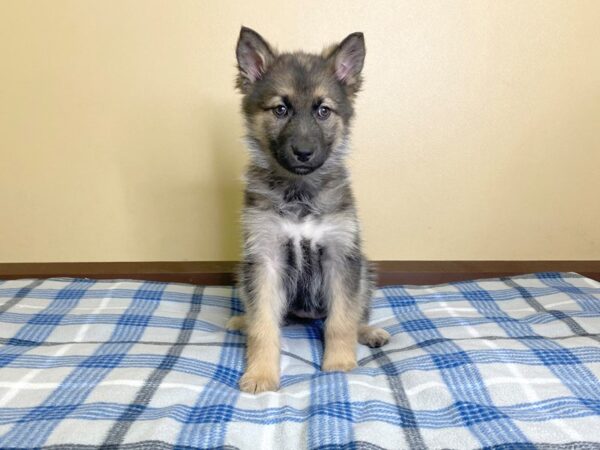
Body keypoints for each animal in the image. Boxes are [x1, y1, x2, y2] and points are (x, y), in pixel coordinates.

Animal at [227, 27, 392, 394]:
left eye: (323, 111)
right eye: (280, 109)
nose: (303, 152)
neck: (299, 192)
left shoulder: (340, 255)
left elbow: (341, 320)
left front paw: (340, 364)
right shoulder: (265, 257)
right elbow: (263, 325)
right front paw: (261, 374)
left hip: (365, 271)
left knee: (357, 313)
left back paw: (369, 332)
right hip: (244, 275)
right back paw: (241, 320)